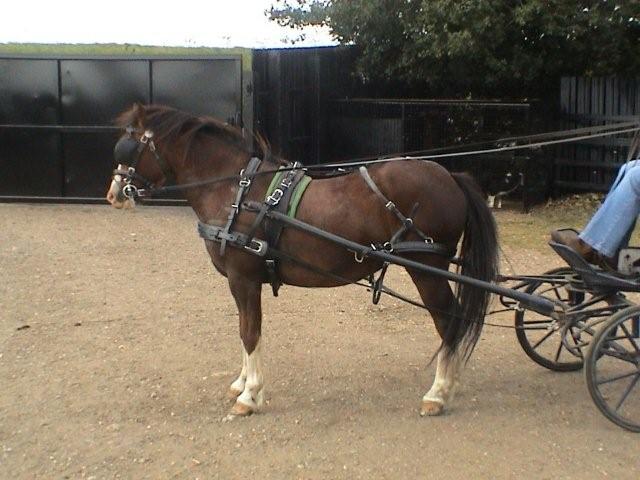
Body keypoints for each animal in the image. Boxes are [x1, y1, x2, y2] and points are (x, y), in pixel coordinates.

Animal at [106, 103, 498, 419]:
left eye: (129, 146)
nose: (113, 194)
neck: (236, 192)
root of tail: (449, 176)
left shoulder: (243, 277)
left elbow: (250, 331)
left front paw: (250, 396)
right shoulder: (240, 281)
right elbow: (244, 329)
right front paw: (242, 382)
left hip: (425, 269)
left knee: (448, 321)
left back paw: (439, 393)